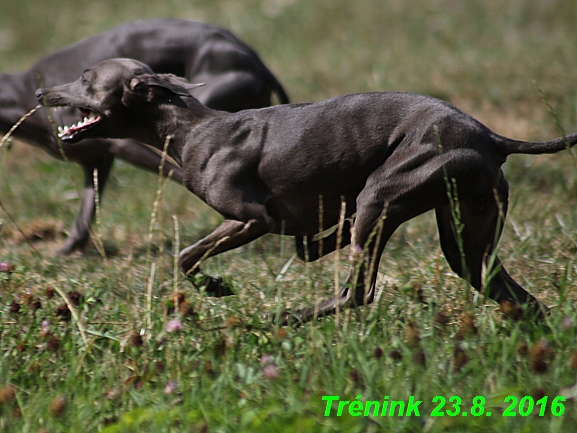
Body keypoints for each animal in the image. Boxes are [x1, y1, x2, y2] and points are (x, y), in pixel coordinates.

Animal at [38, 56, 572, 320]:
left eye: (85, 79)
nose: (43, 91)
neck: (192, 129)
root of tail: (492, 137)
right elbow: (188, 256)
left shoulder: (254, 218)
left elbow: (185, 255)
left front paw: (216, 286)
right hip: (466, 241)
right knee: (522, 300)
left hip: (381, 196)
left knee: (358, 291)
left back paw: (288, 315)